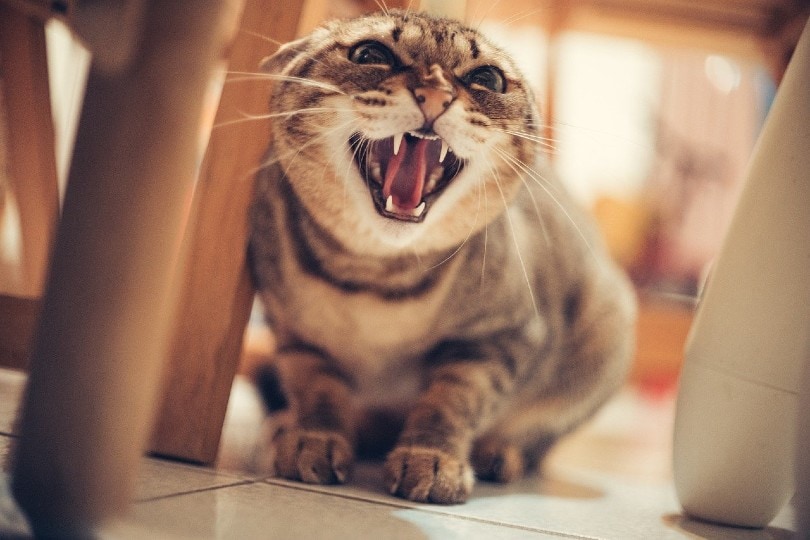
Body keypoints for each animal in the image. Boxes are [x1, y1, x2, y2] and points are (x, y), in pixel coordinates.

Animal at [249, 8, 636, 504]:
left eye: (487, 78)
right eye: (370, 54)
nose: (434, 93)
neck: (377, 278)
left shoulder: (499, 337)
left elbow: (451, 401)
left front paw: (431, 459)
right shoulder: (297, 336)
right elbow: (317, 390)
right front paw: (315, 438)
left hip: (607, 324)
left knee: (538, 438)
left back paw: (499, 454)